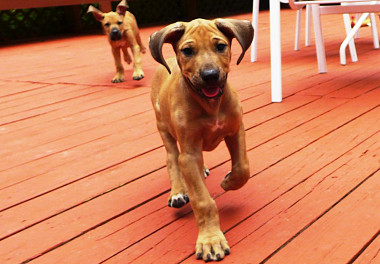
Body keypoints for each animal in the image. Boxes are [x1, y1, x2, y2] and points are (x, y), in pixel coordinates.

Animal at [148, 19, 252, 262]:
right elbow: (202, 201)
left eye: (221, 47)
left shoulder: (236, 130)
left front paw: (229, 182)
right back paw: (178, 192)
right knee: (172, 159)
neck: (210, 105)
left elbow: (243, 168)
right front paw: (210, 240)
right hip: (164, 128)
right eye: (187, 51)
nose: (210, 75)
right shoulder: (189, 154)